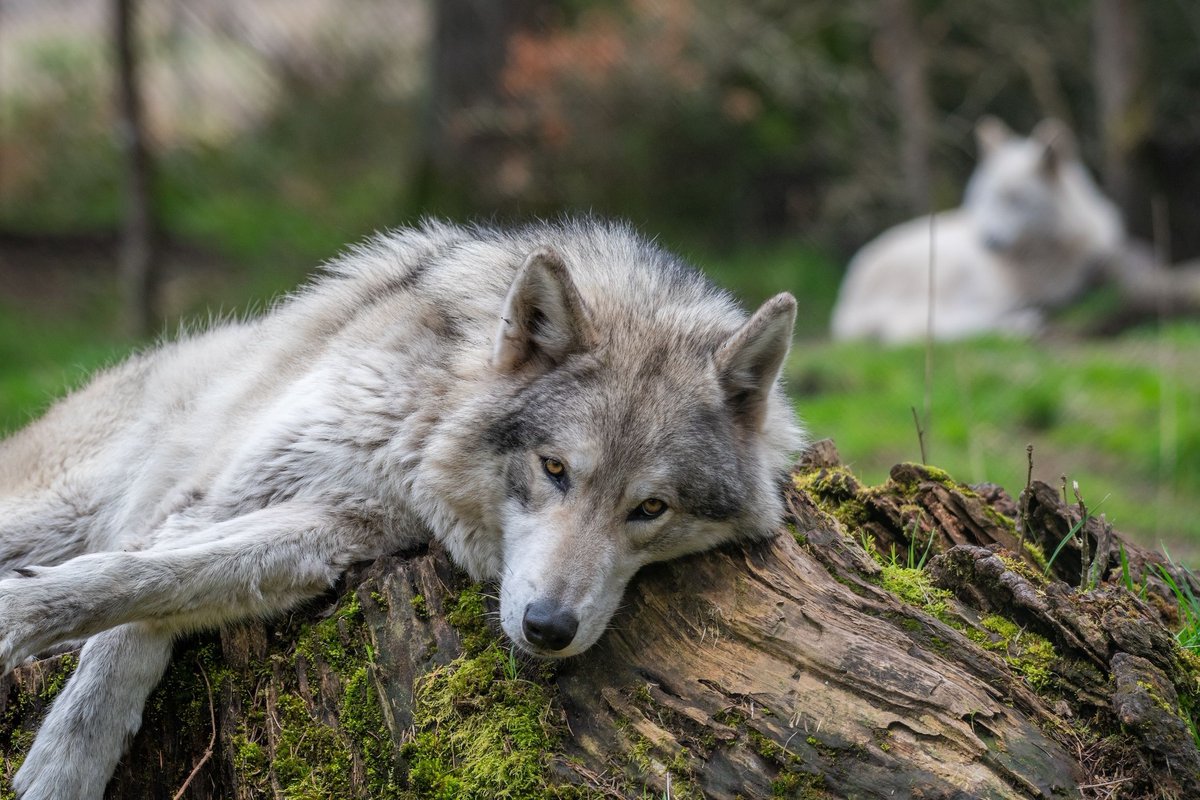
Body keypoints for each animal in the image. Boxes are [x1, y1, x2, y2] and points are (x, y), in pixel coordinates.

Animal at [0, 218, 803, 799]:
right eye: (555, 470)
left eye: (651, 508)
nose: (548, 630)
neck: (424, 430)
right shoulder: (218, 493)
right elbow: (126, 593)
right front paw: (50, 722)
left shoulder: (332, 536)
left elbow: (163, 589)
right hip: (53, 512)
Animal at [831, 118, 1125, 342]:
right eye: (985, 197)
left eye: (1015, 200)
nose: (987, 241)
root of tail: (851, 288)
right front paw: (1020, 321)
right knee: (910, 328)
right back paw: (1017, 326)